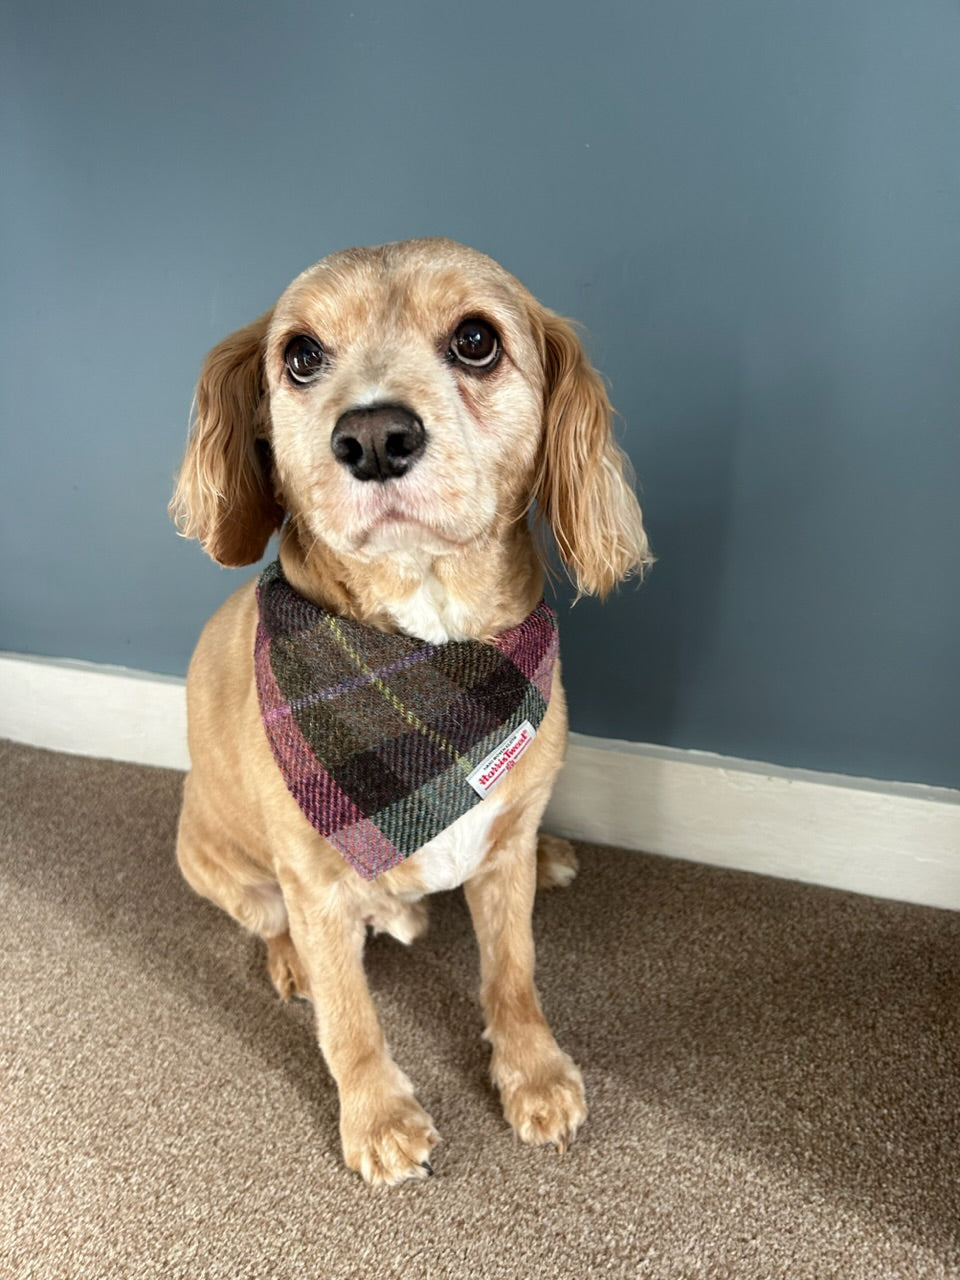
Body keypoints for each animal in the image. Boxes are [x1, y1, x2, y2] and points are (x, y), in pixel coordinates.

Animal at [172, 238, 655, 1177]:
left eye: (476, 340)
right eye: (300, 356)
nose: (371, 437)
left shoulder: (502, 850)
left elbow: (514, 973)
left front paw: (533, 1072)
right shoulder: (317, 883)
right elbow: (350, 1018)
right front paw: (377, 1118)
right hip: (219, 865)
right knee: (271, 924)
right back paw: (294, 961)